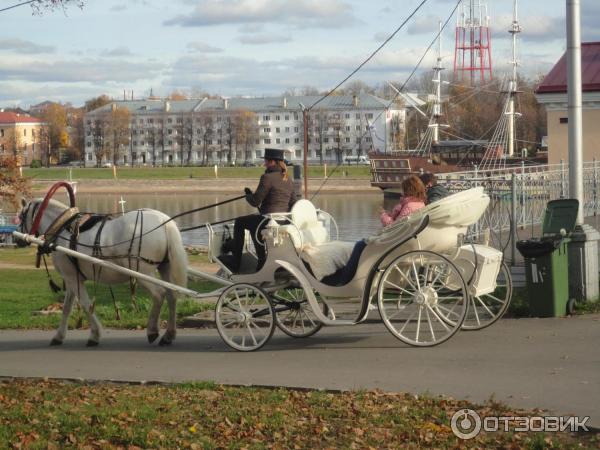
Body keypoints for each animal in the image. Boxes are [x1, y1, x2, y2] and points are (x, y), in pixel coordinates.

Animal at [16, 195, 188, 346]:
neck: (62, 228)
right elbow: (67, 308)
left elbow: (86, 305)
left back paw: (152, 331)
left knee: (159, 294)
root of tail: (163, 221)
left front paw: (95, 335)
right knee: (172, 295)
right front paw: (59, 336)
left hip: (143, 272)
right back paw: (168, 335)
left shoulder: (72, 278)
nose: (16, 239)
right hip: (165, 267)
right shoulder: (72, 278)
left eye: (21, 216)